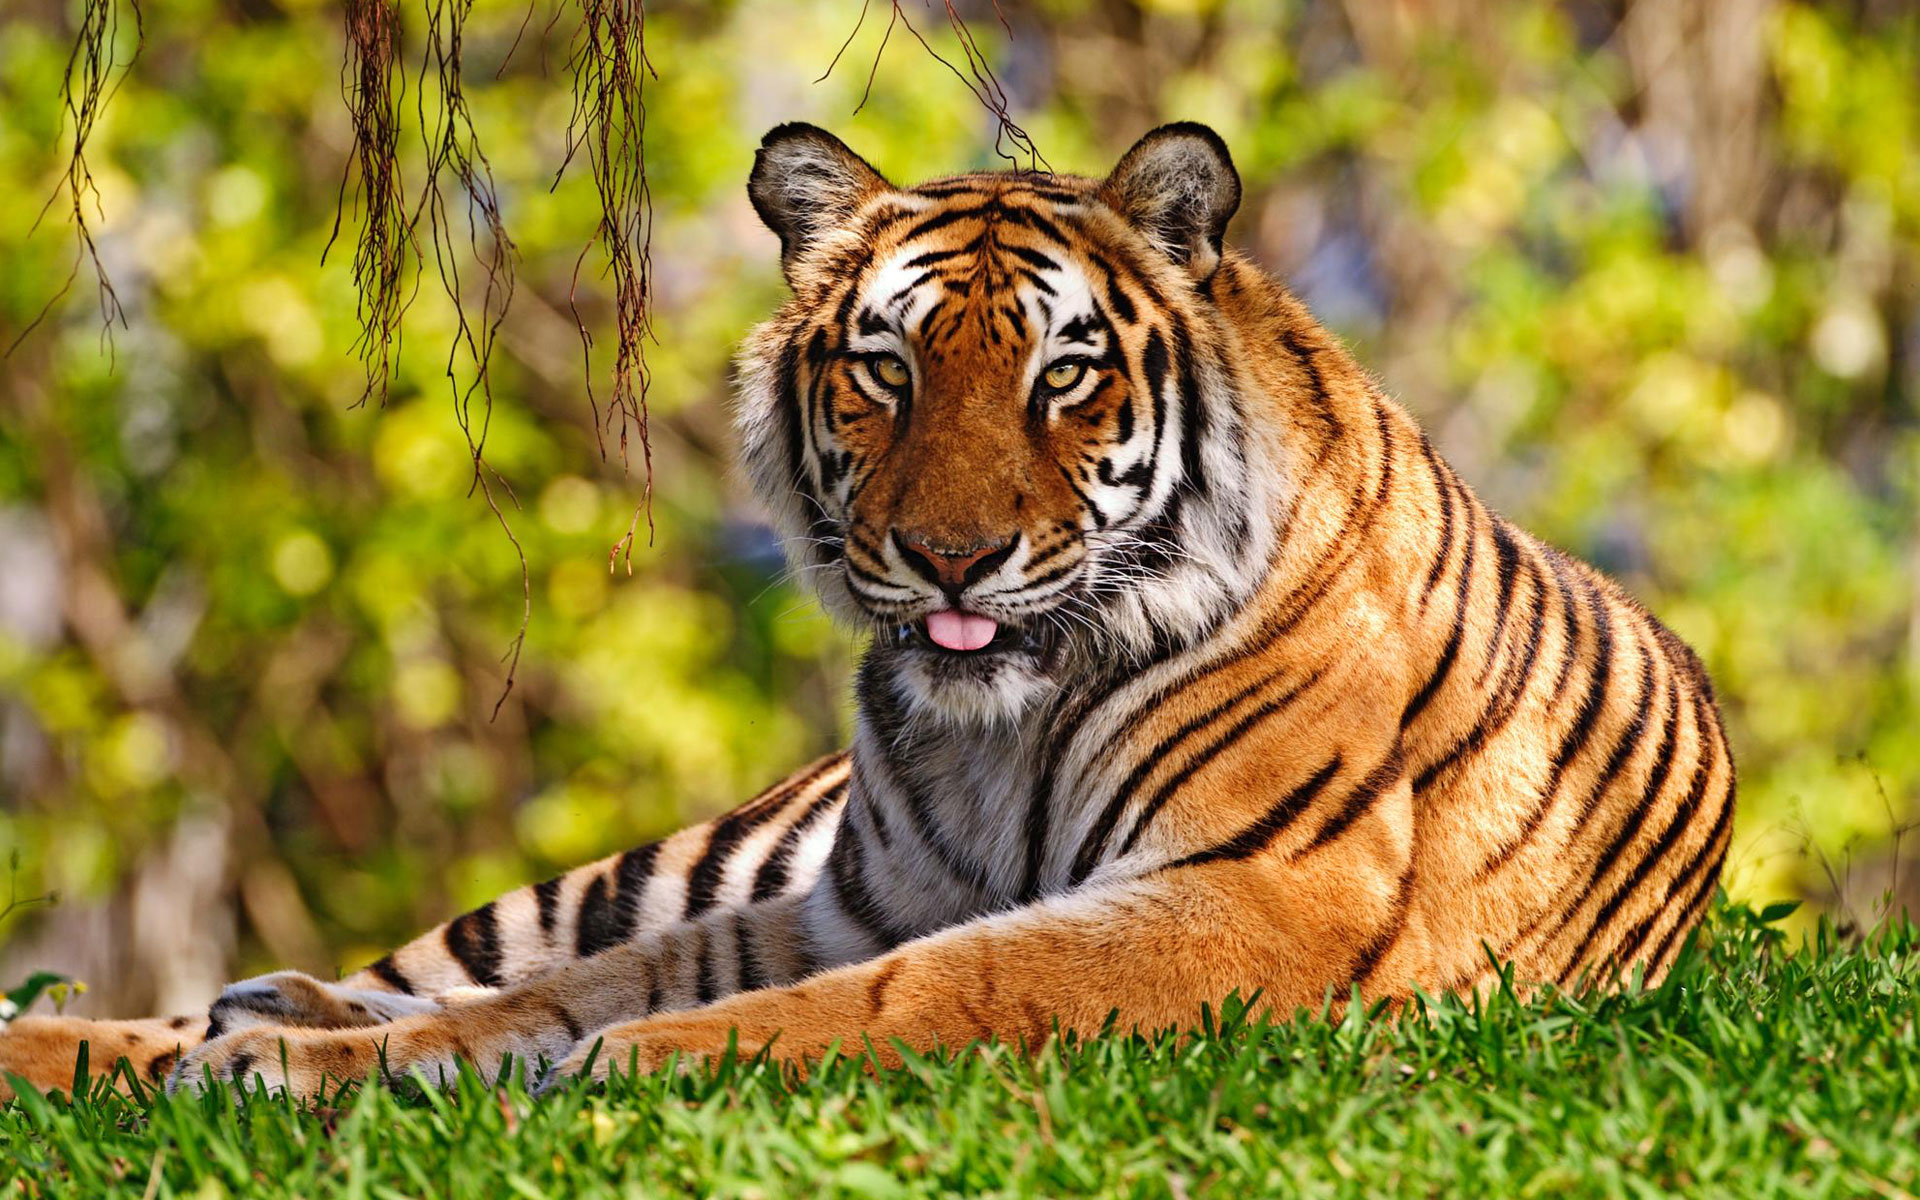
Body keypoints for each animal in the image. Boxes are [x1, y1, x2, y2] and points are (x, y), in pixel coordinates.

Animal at [0, 119, 1743, 1098]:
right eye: (886, 370)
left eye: (1064, 376)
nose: (951, 556)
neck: (1003, 725)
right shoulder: (856, 898)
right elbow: (578, 987)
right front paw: (293, 1063)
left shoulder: (1259, 897)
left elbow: (922, 989)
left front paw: (622, 1069)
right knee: (453, 961)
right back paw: (197, 1025)